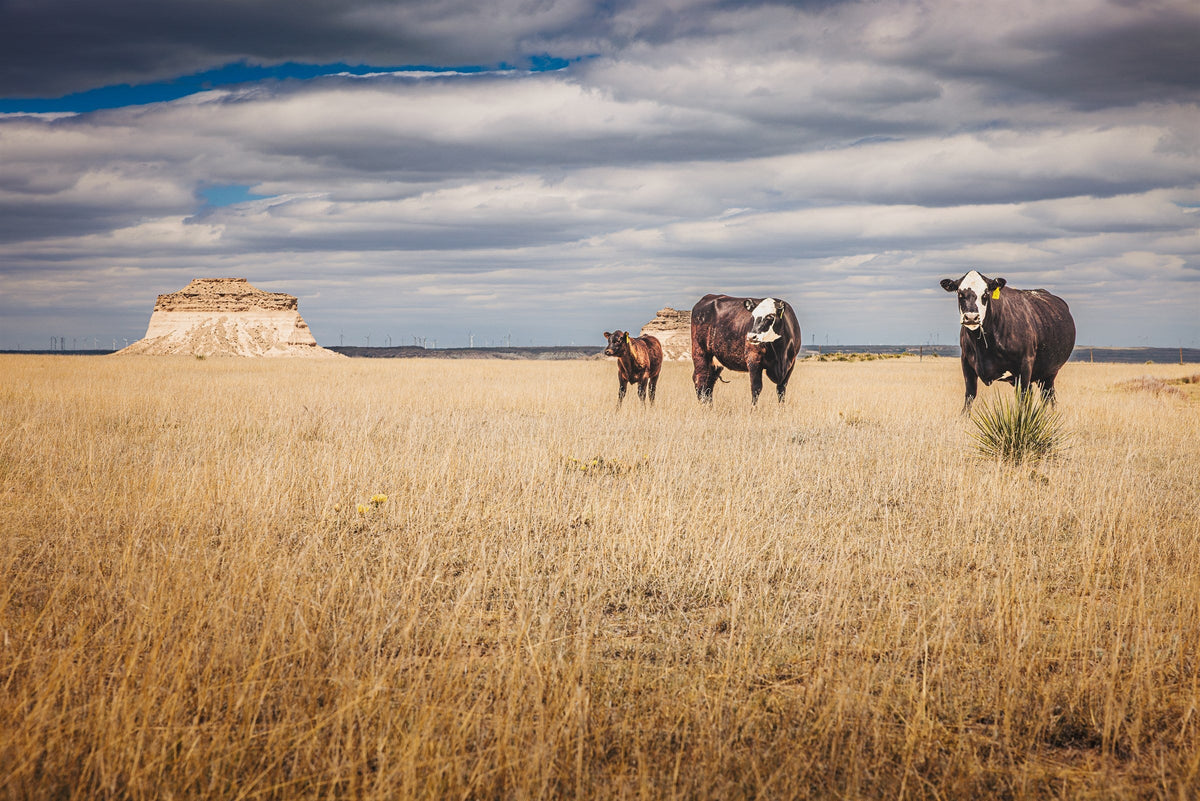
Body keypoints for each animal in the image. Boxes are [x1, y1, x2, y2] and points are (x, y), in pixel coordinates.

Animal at [940, 269, 1075, 411]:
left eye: (986, 293)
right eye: (960, 293)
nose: (971, 317)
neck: (983, 346)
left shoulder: (1025, 365)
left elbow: (1022, 399)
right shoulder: (966, 363)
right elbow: (969, 397)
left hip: (1049, 373)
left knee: (1048, 395)